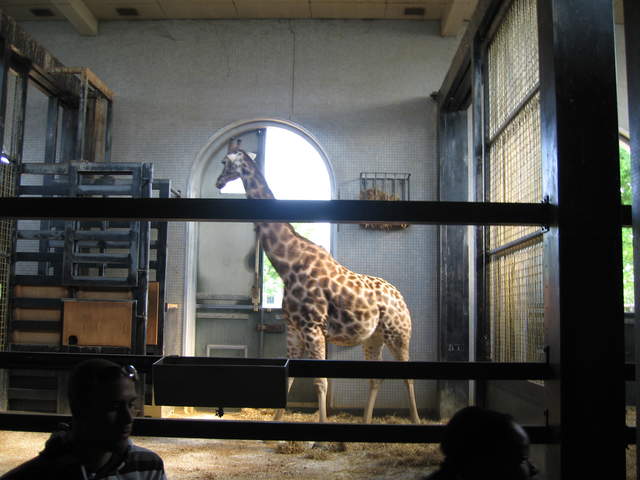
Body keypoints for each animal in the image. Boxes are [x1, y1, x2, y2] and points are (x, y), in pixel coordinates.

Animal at [215, 148, 420, 424]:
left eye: (225, 162)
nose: (218, 182)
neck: (288, 265)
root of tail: (401, 297)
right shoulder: (294, 328)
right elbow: (290, 377)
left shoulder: (313, 327)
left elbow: (320, 383)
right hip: (373, 337)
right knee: (375, 379)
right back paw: (366, 421)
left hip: (399, 334)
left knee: (408, 377)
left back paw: (416, 421)